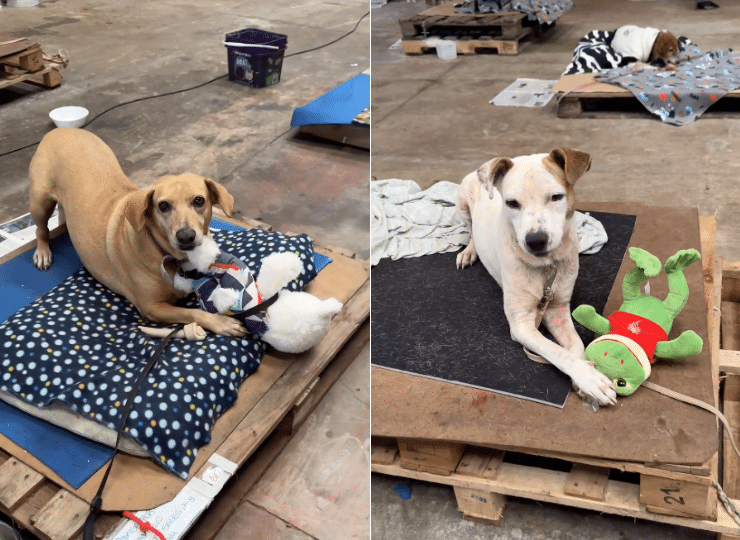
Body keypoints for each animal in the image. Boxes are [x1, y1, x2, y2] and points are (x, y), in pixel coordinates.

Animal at [28, 127, 246, 338]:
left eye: (199, 200)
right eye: (163, 205)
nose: (186, 237)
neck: (166, 253)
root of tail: (60, 130)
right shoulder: (152, 308)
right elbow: (192, 313)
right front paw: (222, 323)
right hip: (40, 202)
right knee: (41, 230)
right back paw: (42, 252)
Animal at [456, 147, 620, 404]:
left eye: (556, 197)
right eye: (512, 203)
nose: (535, 241)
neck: (545, 265)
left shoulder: (558, 308)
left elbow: (575, 344)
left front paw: (586, 375)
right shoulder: (522, 324)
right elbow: (557, 351)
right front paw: (590, 379)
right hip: (462, 203)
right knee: (470, 229)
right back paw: (469, 252)